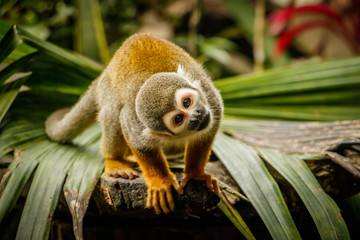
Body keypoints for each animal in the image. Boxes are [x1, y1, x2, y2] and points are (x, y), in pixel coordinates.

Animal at [45, 33, 222, 214]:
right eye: (178, 119)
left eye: (187, 102)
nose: (197, 115)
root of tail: (104, 73)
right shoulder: (136, 123)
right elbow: (137, 141)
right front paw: (161, 181)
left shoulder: (210, 98)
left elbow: (207, 133)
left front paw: (195, 173)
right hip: (106, 90)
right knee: (114, 112)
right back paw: (114, 160)